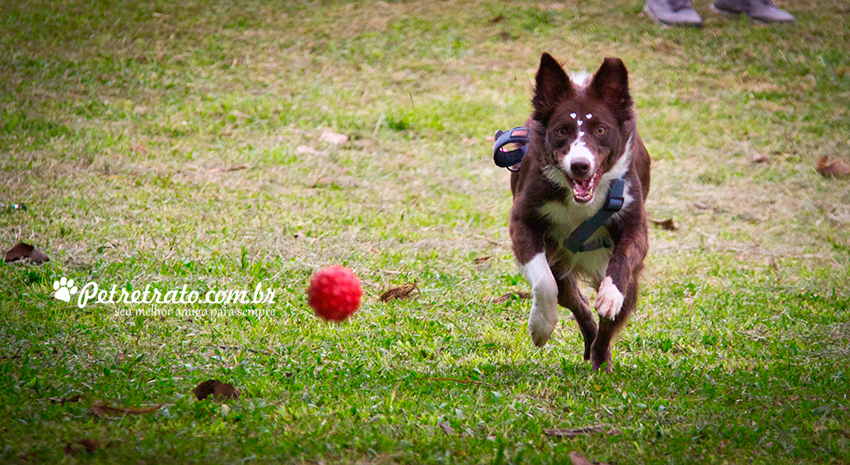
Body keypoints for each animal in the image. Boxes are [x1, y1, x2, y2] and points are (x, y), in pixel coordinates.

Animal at [506, 53, 652, 370]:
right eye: (562, 130)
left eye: (600, 129)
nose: (580, 165)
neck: (582, 202)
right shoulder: (523, 222)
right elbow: (543, 281)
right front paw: (541, 325)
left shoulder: (634, 223)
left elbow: (623, 259)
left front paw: (610, 294)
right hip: (561, 265)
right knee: (577, 304)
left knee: (607, 327)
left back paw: (600, 361)